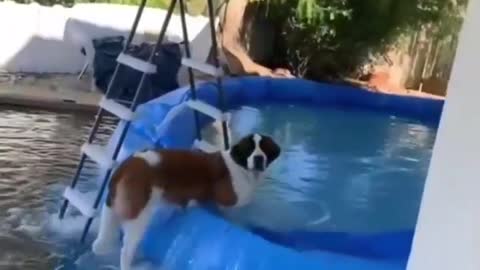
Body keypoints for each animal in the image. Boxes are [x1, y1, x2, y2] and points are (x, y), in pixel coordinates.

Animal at [91, 133, 280, 270]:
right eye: (249, 149)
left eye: (264, 148)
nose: (258, 158)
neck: (241, 167)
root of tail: (126, 163)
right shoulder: (229, 205)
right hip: (139, 216)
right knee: (126, 249)